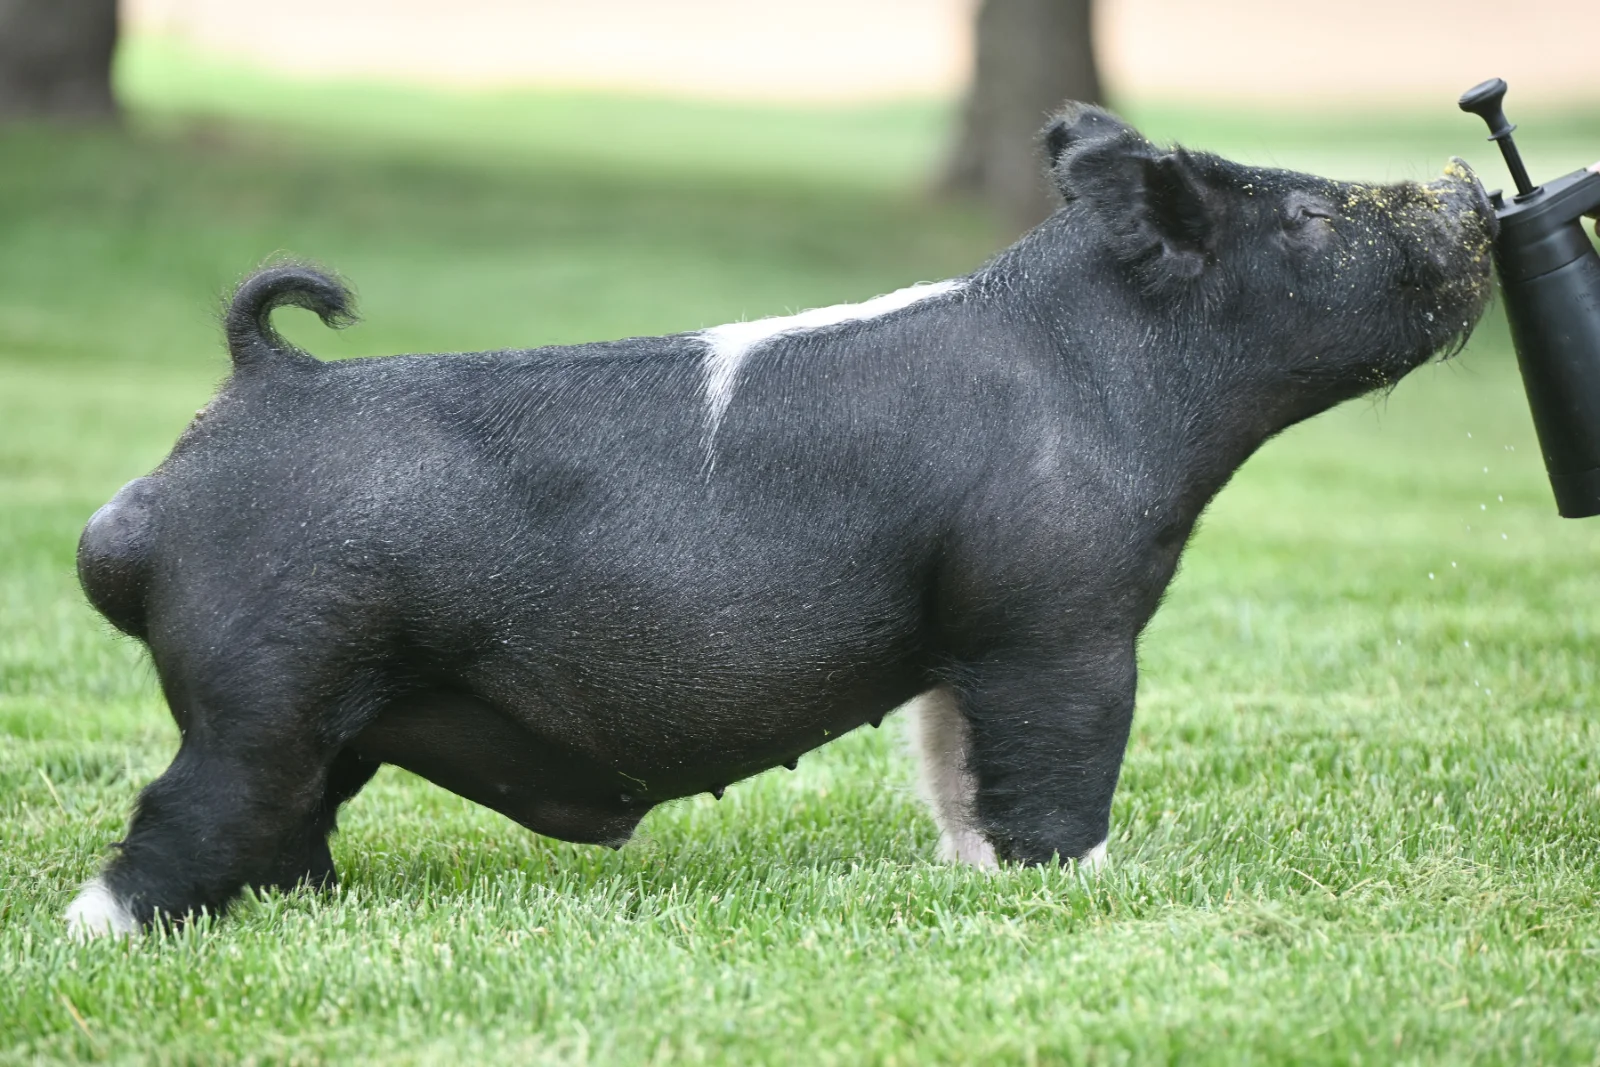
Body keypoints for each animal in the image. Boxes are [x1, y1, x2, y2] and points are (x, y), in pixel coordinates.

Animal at [65, 105, 1495, 936]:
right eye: (1307, 214)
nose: (1467, 193)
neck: (1105, 375)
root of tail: (250, 390)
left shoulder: (966, 640)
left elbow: (955, 763)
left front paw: (980, 877)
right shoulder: (1059, 613)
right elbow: (1061, 759)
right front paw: (1085, 885)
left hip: (324, 708)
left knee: (283, 819)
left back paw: (309, 906)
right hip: (272, 674)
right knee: (182, 813)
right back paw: (109, 931)